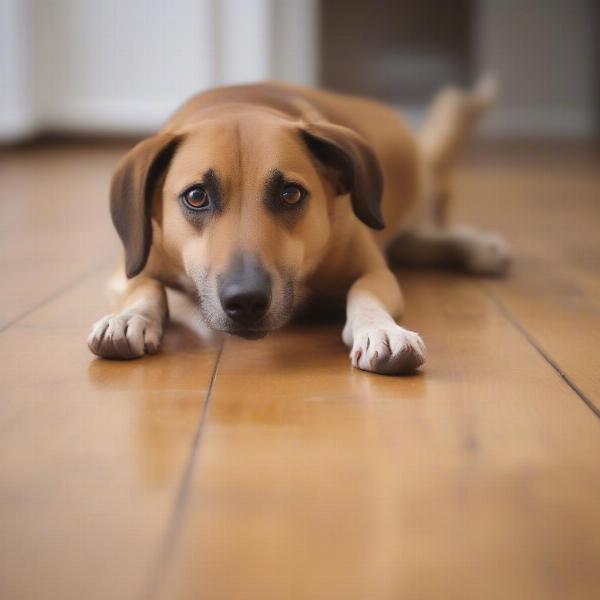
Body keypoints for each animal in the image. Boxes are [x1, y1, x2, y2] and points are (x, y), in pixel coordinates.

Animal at [88, 77, 510, 372]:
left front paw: (380, 328)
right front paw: (128, 318)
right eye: (196, 197)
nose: (246, 300)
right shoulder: (129, 266)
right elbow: (145, 287)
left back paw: (477, 247)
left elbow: (365, 291)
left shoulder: (374, 269)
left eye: (290, 194)